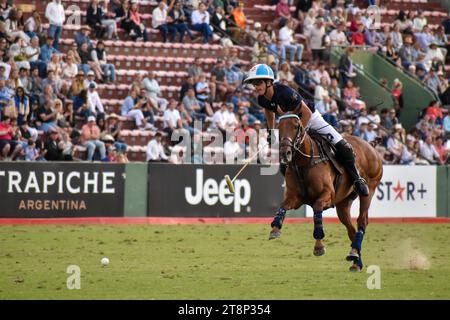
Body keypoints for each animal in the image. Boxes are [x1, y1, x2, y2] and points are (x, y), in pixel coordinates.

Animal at [270, 109, 384, 272]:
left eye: (296, 126)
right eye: (279, 126)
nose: (285, 153)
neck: (305, 162)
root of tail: (370, 145)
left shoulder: (327, 195)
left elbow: (317, 209)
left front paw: (319, 246)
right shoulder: (295, 197)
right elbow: (283, 206)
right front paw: (275, 228)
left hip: (370, 189)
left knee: (362, 220)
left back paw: (354, 253)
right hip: (343, 203)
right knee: (351, 230)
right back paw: (355, 260)